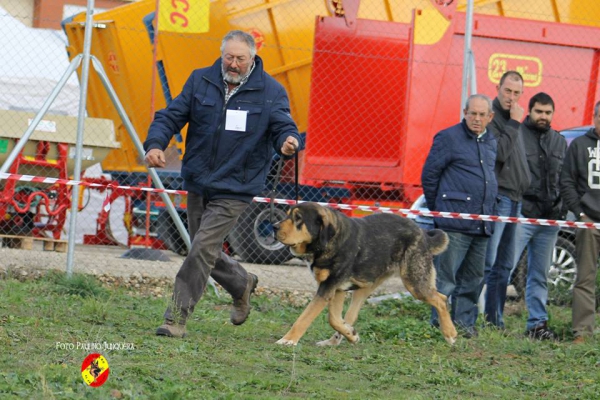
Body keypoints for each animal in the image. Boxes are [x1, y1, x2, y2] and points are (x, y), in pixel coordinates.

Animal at [274, 202, 458, 346]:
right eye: (287, 215)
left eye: (298, 218)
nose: (274, 226)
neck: (329, 241)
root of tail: (423, 233)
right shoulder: (336, 289)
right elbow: (334, 318)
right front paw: (351, 334)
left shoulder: (328, 287)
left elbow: (305, 317)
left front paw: (288, 340)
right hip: (365, 287)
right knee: (351, 316)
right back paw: (339, 339)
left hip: (414, 283)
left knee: (441, 299)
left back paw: (450, 333)